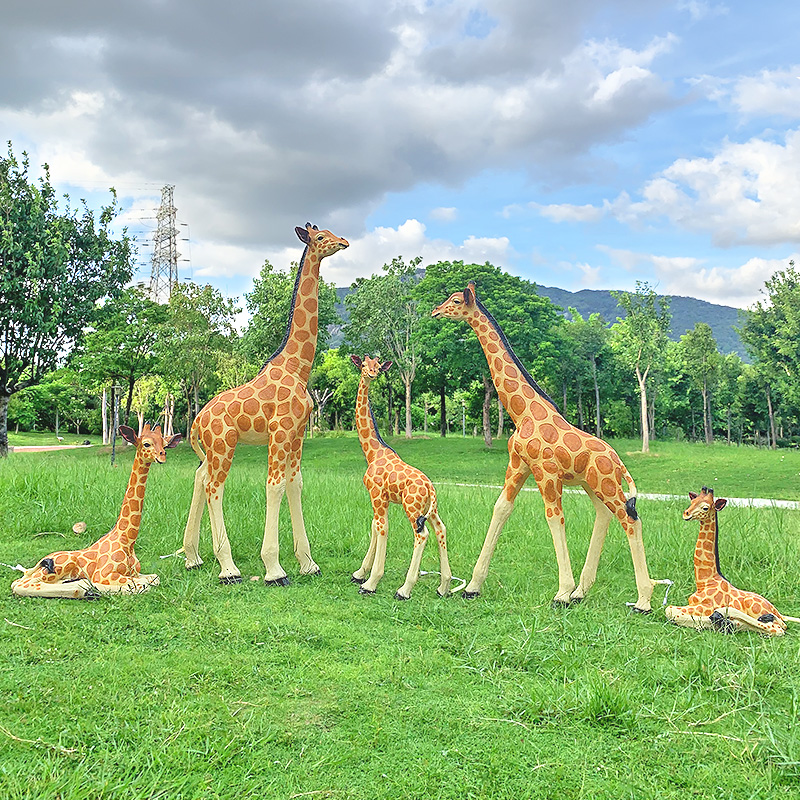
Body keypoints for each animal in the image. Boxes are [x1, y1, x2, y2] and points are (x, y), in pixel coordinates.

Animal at [11, 422, 180, 596]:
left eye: (165, 444)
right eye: (146, 443)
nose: (162, 456)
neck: (127, 541)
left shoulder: (136, 572)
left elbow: (154, 578)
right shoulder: (104, 574)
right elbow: (139, 586)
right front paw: (97, 587)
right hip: (57, 568)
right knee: (20, 584)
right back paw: (84, 588)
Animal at [183, 222, 348, 584]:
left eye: (331, 231)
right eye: (320, 238)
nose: (343, 242)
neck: (298, 367)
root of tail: (197, 420)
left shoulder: (298, 435)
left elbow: (295, 485)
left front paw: (308, 563)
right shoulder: (281, 431)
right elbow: (274, 486)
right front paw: (274, 568)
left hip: (212, 450)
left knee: (200, 478)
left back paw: (193, 557)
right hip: (224, 444)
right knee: (214, 486)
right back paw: (228, 568)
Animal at [438, 282, 656, 612]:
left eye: (454, 300)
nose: (435, 311)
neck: (522, 413)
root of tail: (619, 462)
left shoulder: (547, 472)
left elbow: (555, 519)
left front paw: (561, 593)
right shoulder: (518, 464)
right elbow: (501, 508)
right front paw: (473, 587)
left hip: (605, 483)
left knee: (631, 519)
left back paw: (642, 600)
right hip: (593, 483)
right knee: (604, 515)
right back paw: (582, 592)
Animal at [664, 488, 792, 636]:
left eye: (705, 507)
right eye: (692, 501)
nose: (686, 514)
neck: (704, 581)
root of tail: (778, 611)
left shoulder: (705, 606)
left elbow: (670, 610)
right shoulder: (692, 604)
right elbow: (671, 610)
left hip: (754, 607)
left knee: (778, 628)